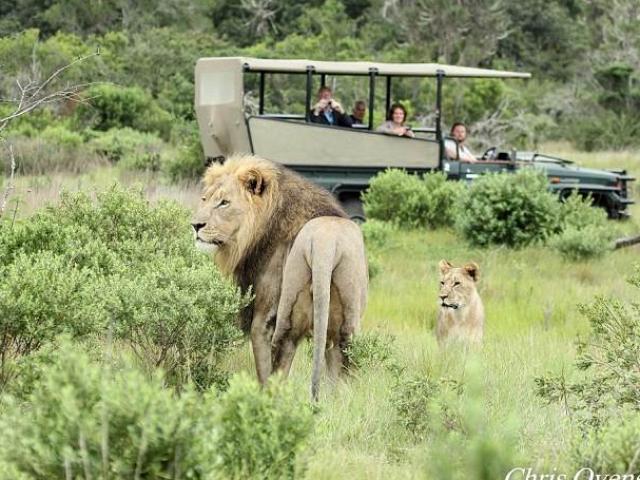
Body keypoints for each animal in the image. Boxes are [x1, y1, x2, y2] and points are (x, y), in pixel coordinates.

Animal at [190, 156, 368, 400]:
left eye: (224, 202)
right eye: (204, 199)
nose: (195, 225)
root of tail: (326, 242)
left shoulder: (263, 315)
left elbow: (263, 369)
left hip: (287, 315)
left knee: (280, 365)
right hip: (346, 323)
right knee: (340, 367)